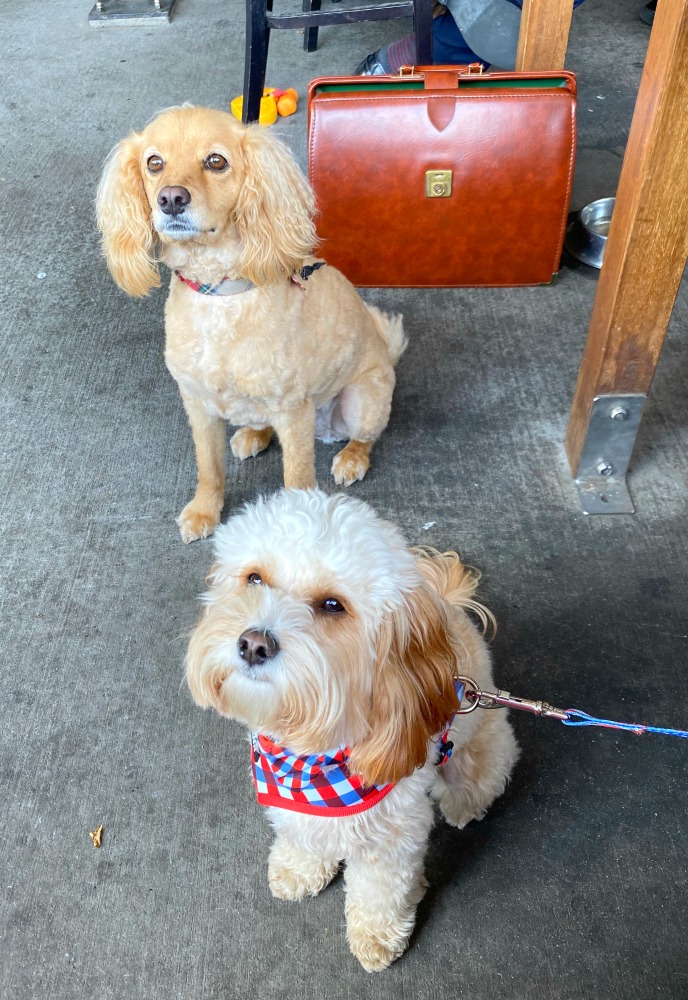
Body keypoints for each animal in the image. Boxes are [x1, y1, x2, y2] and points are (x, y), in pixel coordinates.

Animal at [97, 106, 408, 544]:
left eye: (216, 161)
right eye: (153, 163)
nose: (171, 198)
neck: (219, 294)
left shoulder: (293, 411)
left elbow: (297, 477)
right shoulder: (197, 404)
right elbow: (208, 468)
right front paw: (205, 511)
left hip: (363, 401)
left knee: (366, 437)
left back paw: (351, 458)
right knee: (260, 423)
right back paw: (252, 435)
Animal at [185, 488, 520, 972]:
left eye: (332, 605)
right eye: (254, 578)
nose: (252, 644)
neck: (310, 754)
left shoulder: (396, 833)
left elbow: (381, 889)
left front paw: (377, 934)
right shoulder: (291, 801)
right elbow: (302, 836)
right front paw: (299, 869)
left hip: (479, 751)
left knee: (480, 780)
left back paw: (464, 806)